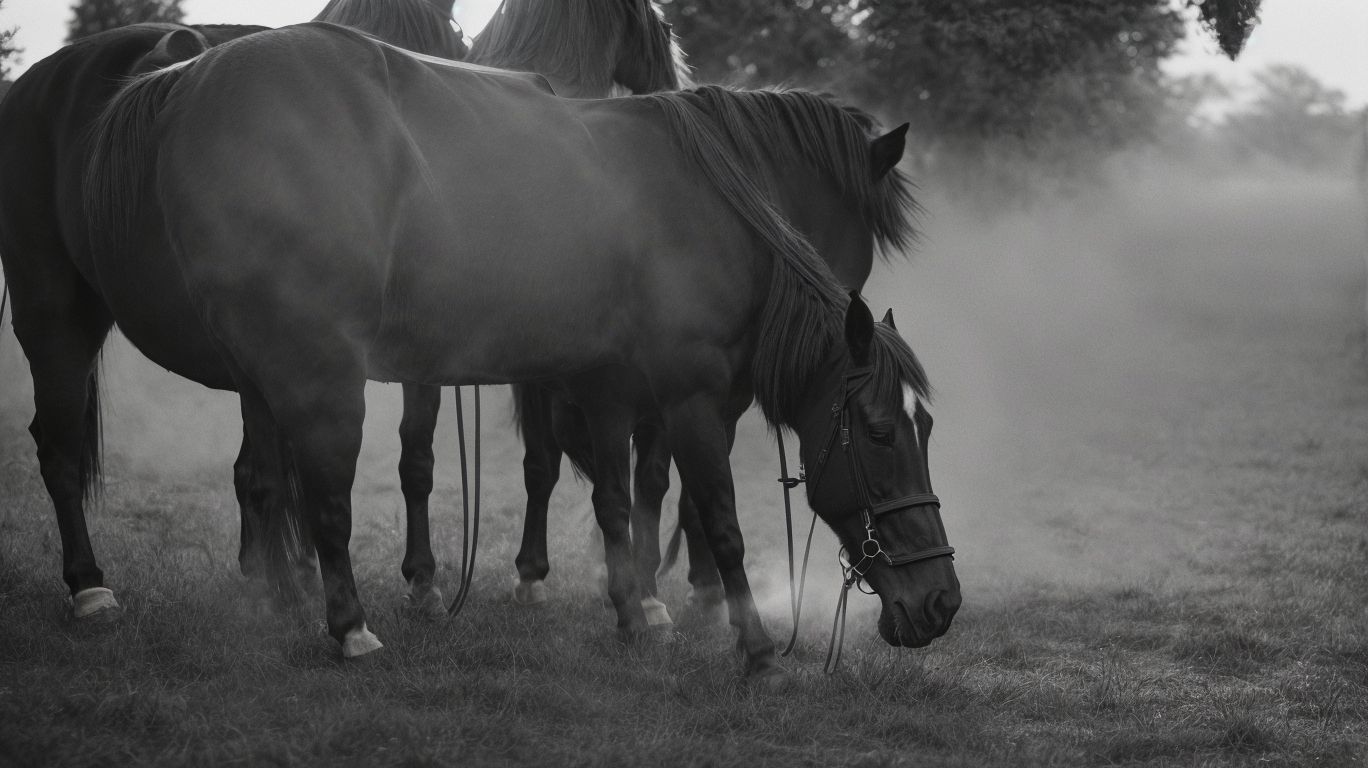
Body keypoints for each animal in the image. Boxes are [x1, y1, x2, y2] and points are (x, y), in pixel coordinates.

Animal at [0, 0, 465, 621]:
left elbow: (411, 458)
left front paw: (415, 579)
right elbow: (281, 470)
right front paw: (291, 584)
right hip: (51, 314)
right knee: (59, 448)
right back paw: (88, 586)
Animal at [85, 22, 960, 676]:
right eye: (881, 432)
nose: (941, 602)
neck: (715, 202)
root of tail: (193, 78)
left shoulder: (609, 388)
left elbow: (616, 501)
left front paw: (634, 612)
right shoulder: (688, 399)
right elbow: (717, 516)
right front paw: (751, 646)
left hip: (266, 380)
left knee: (265, 483)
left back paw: (280, 606)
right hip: (319, 377)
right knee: (327, 498)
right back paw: (350, 626)